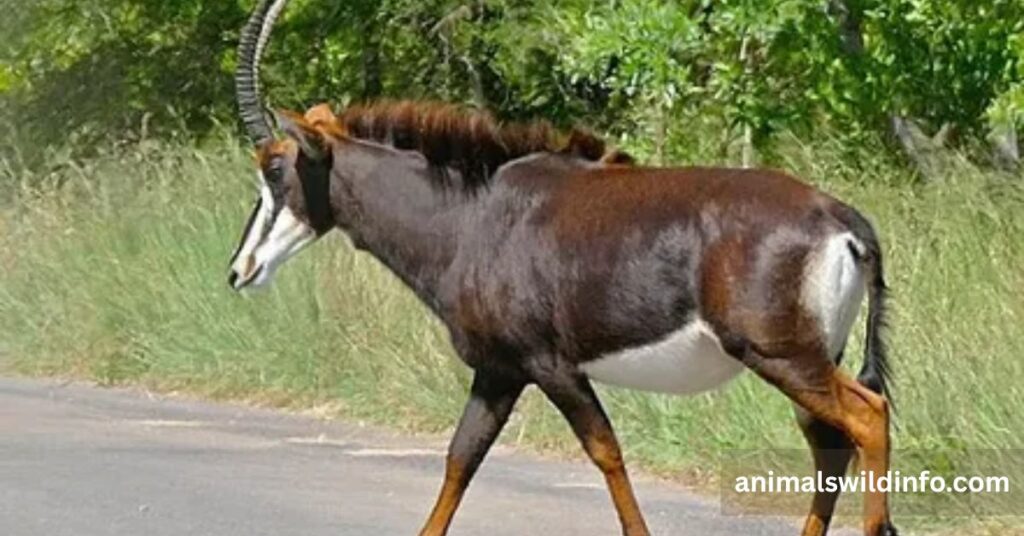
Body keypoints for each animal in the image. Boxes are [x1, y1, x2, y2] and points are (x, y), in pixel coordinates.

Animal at [227, 1, 898, 535]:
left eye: (276, 169)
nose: (240, 271)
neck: (472, 214)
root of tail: (843, 219)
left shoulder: (549, 364)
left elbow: (605, 452)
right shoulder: (498, 372)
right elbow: (459, 460)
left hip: (779, 354)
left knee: (868, 417)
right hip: (811, 357)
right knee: (830, 444)